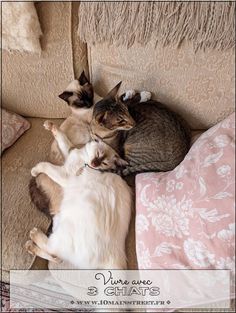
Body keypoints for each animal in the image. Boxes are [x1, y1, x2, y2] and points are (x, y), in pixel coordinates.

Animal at [26, 120, 133, 270]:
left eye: (104, 163)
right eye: (98, 154)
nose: (94, 163)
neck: (84, 160)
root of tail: (115, 258)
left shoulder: (64, 174)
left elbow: (45, 166)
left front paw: (35, 170)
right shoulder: (70, 151)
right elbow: (62, 138)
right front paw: (50, 126)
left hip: (61, 236)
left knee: (51, 248)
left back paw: (33, 236)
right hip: (57, 220)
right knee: (55, 257)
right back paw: (30, 246)